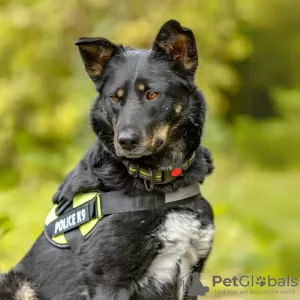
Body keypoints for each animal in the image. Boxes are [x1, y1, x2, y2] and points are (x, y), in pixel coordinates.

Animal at [0, 19, 216, 298]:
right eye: (115, 97)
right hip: (16, 283)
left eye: (152, 95)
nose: (125, 141)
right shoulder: (110, 280)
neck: (161, 183)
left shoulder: (190, 274)